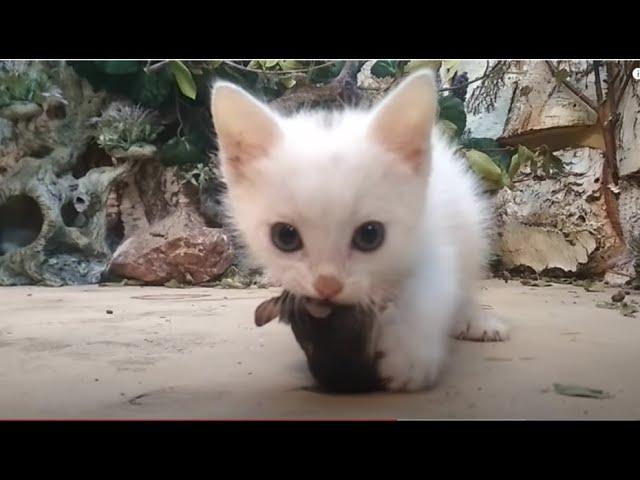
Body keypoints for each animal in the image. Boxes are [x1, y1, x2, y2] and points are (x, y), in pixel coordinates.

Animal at [212, 71, 508, 394]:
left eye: (370, 235)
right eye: (285, 237)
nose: (327, 286)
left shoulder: (431, 238)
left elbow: (427, 294)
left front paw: (409, 357)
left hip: (470, 224)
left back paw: (473, 319)